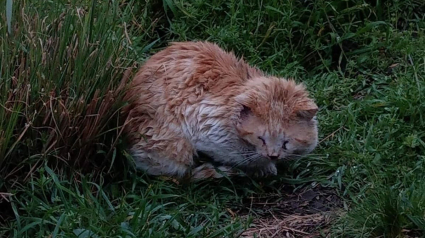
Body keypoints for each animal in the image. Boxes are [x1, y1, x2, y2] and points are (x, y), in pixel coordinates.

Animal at [121, 41, 316, 180]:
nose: (273, 155)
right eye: (260, 138)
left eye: (286, 142)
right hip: (174, 148)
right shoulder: (204, 125)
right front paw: (261, 167)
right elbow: (239, 156)